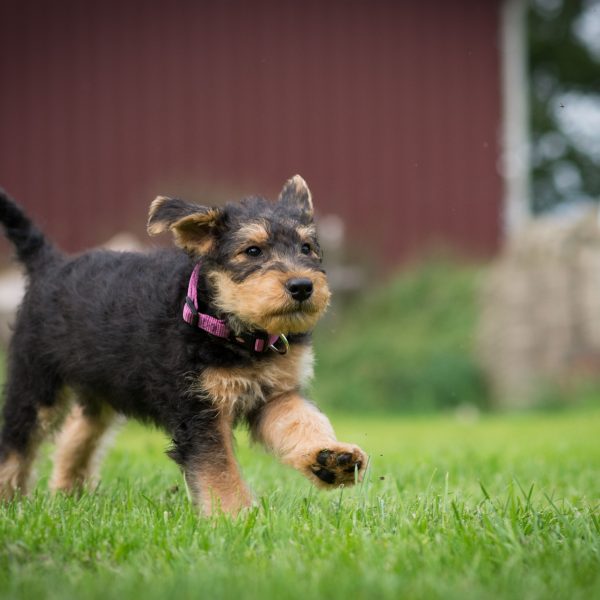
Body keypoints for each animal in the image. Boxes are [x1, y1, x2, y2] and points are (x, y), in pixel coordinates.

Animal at [0, 176, 366, 512]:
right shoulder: (199, 411)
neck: (233, 330)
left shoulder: (276, 394)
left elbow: (301, 422)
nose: (302, 286)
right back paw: (12, 500)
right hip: (35, 384)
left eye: (306, 248)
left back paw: (68, 493)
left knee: (77, 433)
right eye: (252, 251)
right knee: (16, 443)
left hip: (99, 387)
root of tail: (50, 264)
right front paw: (238, 519)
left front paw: (330, 458)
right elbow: (219, 472)